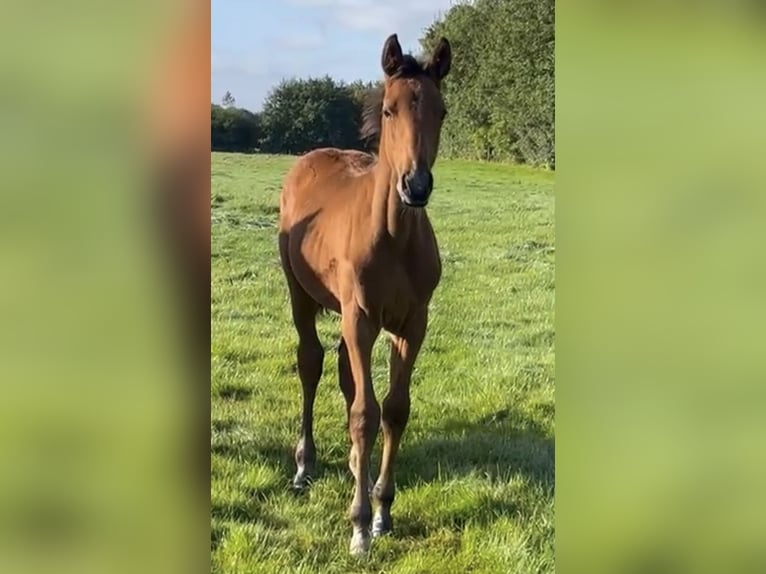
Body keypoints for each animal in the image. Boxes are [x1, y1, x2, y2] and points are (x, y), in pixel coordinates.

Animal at [280, 33, 452, 556]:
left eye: (441, 111)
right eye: (391, 110)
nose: (415, 185)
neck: (394, 238)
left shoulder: (412, 322)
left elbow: (393, 410)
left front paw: (382, 511)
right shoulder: (361, 318)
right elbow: (363, 414)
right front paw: (358, 526)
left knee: (342, 372)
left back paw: (355, 465)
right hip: (300, 293)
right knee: (311, 363)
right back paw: (304, 465)